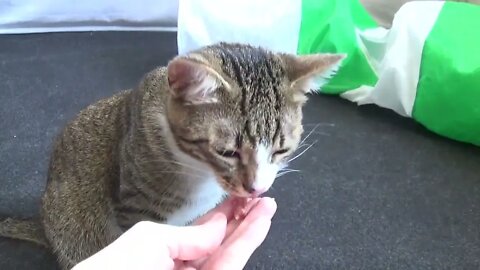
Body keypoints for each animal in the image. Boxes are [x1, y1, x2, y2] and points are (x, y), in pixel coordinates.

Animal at [0, 43, 344, 268]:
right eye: (227, 152)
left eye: (281, 150)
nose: (256, 188)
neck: (199, 170)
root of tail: (45, 227)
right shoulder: (134, 207)